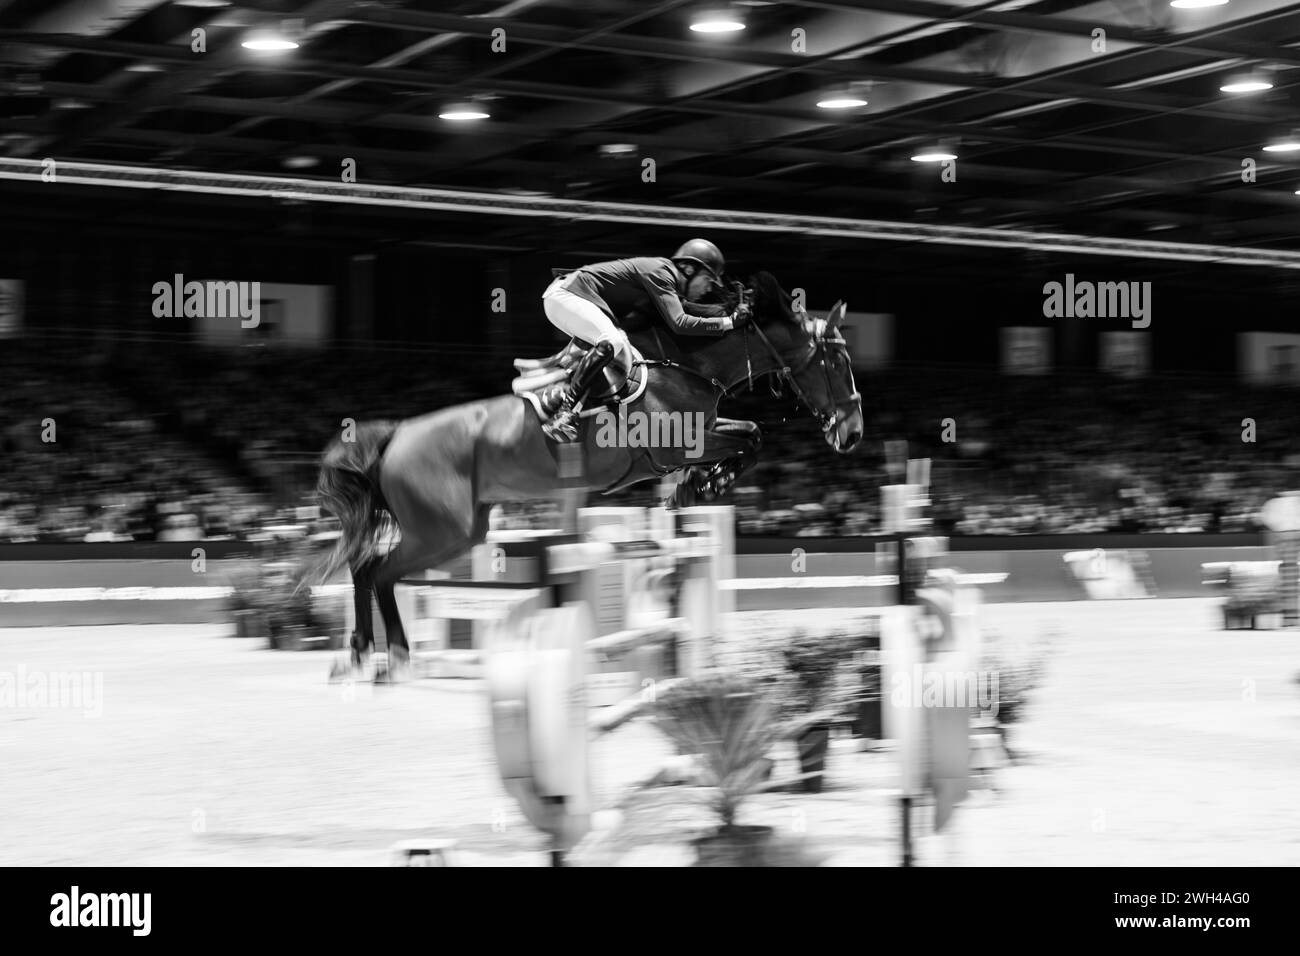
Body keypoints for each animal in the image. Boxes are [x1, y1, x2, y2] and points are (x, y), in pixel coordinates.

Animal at [301, 270, 863, 681]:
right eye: (836, 361)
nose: (853, 434)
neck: (689, 364)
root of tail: (396, 436)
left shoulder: (704, 431)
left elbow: (750, 434)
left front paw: (698, 487)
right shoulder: (678, 445)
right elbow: (750, 437)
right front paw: (698, 485)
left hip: (462, 531)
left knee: (369, 570)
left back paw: (369, 654)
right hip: (443, 530)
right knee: (375, 571)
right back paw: (385, 656)